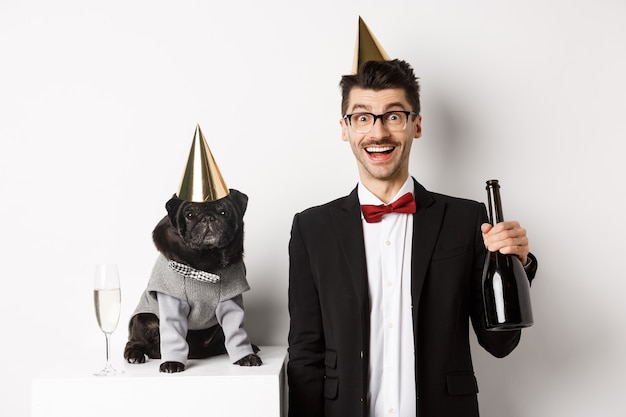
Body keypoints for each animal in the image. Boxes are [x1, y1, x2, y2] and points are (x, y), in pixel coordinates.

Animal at [124, 190, 260, 372]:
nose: (208, 218)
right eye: (189, 215)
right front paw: (172, 362)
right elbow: (173, 335)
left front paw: (246, 356)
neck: (207, 261)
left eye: (224, 212)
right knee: (134, 341)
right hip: (144, 319)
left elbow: (236, 332)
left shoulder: (231, 301)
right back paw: (135, 354)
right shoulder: (172, 302)